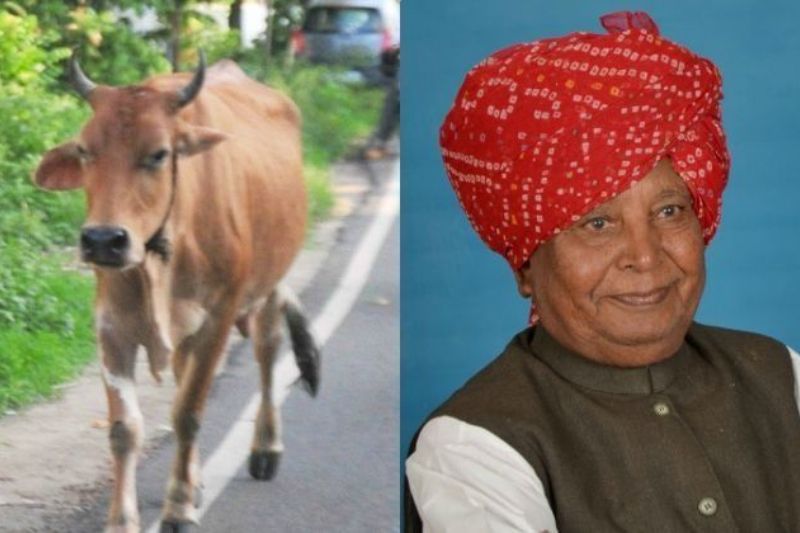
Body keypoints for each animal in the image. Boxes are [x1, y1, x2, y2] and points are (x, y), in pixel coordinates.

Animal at [32, 51, 320, 532]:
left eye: (158, 154)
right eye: (86, 150)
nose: (103, 240)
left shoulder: (218, 318)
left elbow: (188, 414)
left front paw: (180, 508)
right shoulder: (111, 325)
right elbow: (124, 429)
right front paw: (123, 519)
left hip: (267, 287)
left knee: (266, 351)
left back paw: (265, 447)